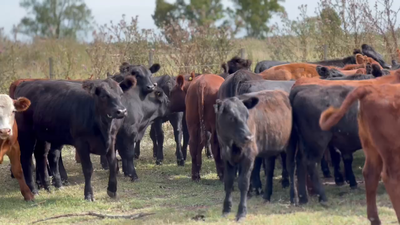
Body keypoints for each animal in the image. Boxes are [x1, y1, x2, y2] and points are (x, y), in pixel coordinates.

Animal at [320, 83, 400, 225]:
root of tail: (371, 89)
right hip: (392, 152)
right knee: (391, 178)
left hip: (371, 147)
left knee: (370, 174)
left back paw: (374, 219)